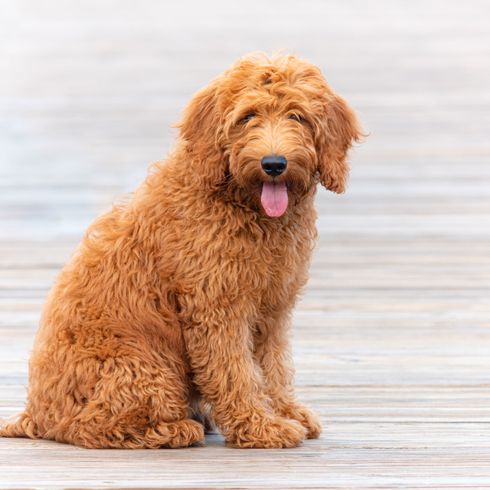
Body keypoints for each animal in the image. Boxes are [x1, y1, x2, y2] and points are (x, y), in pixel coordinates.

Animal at [0, 52, 362, 448]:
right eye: (247, 116)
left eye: (297, 116)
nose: (273, 164)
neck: (240, 205)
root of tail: (36, 413)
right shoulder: (217, 306)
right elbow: (236, 370)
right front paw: (259, 425)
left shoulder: (273, 307)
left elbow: (273, 366)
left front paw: (284, 411)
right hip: (145, 367)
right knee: (93, 425)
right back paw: (176, 429)